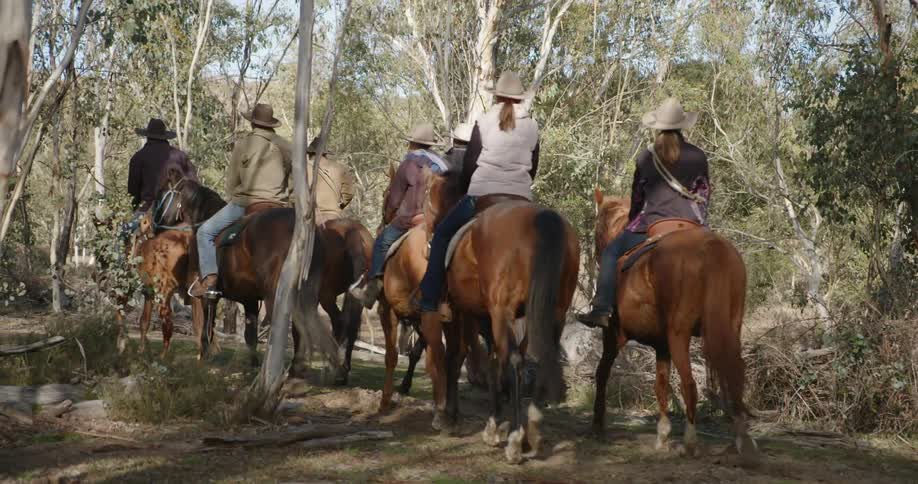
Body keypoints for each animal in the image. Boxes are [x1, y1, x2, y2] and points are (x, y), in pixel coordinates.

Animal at [153, 173, 336, 377]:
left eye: (162, 195)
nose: (155, 228)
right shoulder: (249, 300)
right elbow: (250, 337)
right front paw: (252, 367)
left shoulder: (207, 297)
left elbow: (206, 332)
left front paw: (204, 362)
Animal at [424, 171, 581, 464]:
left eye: (427, 200)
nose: (428, 237)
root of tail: (542, 218)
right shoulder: (485, 317)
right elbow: (492, 361)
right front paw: (494, 423)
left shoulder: (463, 312)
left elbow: (457, 356)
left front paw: (451, 417)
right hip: (554, 313)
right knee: (538, 357)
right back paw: (532, 429)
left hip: (502, 313)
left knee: (516, 361)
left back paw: (517, 440)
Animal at [591, 189, 757, 459]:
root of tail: (711, 247)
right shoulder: (661, 346)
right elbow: (661, 385)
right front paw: (663, 436)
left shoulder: (614, 335)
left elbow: (602, 372)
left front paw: (597, 426)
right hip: (730, 329)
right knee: (734, 376)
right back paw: (742, 440)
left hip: (680, 334)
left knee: (689, 384)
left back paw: (690, 442)